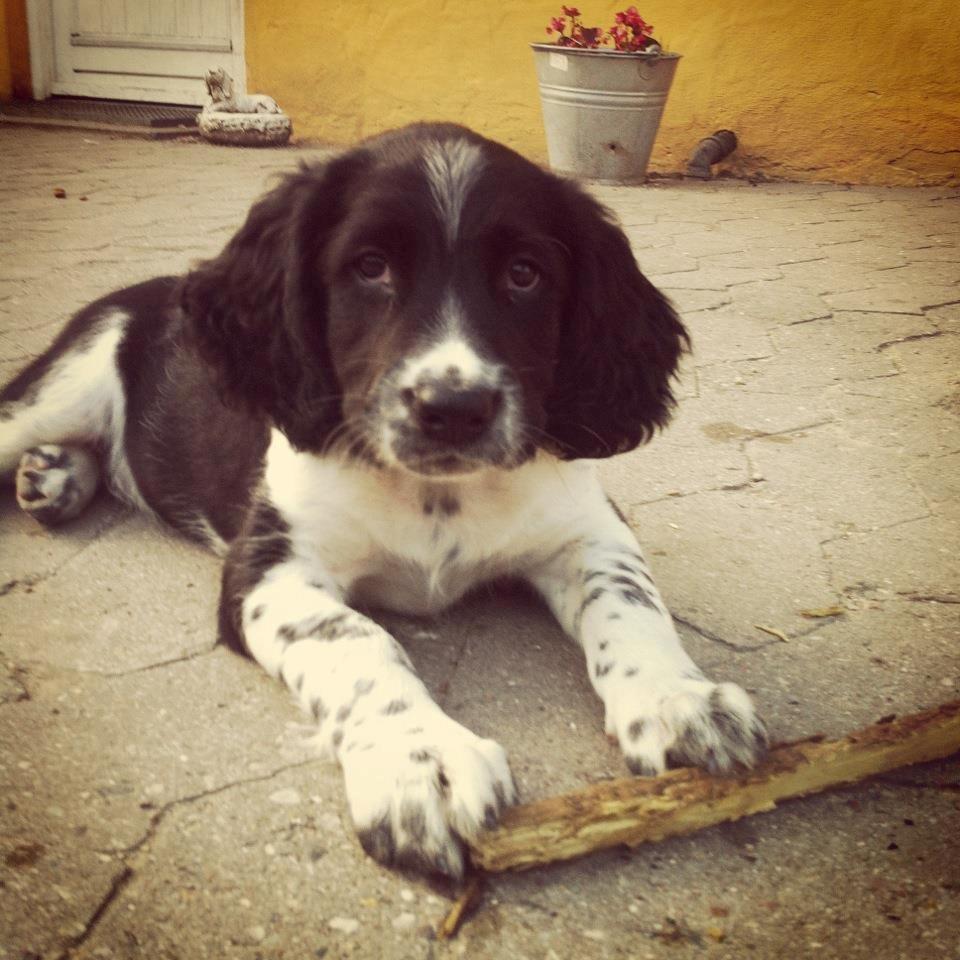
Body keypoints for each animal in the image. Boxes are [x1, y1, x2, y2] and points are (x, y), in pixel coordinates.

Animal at [0, 124, 764, 880]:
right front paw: (420, 762)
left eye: (525, 274)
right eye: (370, 267)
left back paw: (57, 477)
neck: (434, 493)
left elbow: (631, 605)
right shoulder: (270, 569)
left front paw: (679, 700)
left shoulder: (590, 532)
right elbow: (356, 641)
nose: (453, 409)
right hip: (59, 390)